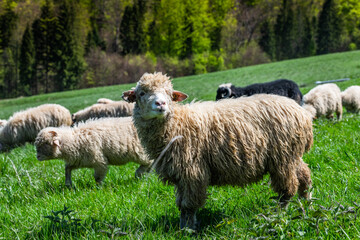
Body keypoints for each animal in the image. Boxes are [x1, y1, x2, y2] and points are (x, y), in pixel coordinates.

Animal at [122, 71, 314, 231]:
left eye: (169, 94)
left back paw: (279, 215)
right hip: (292, 155)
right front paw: (182, 227)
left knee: (287, 189)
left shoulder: (192, 172)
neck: (177, 123)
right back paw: (307, 205)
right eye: (142, 93)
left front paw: (188, 230)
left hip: (282, 157)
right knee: (304, 176)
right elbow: (181, 205)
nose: (161, 104)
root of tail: (301, 113)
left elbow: (188, 205)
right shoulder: (180, 175)